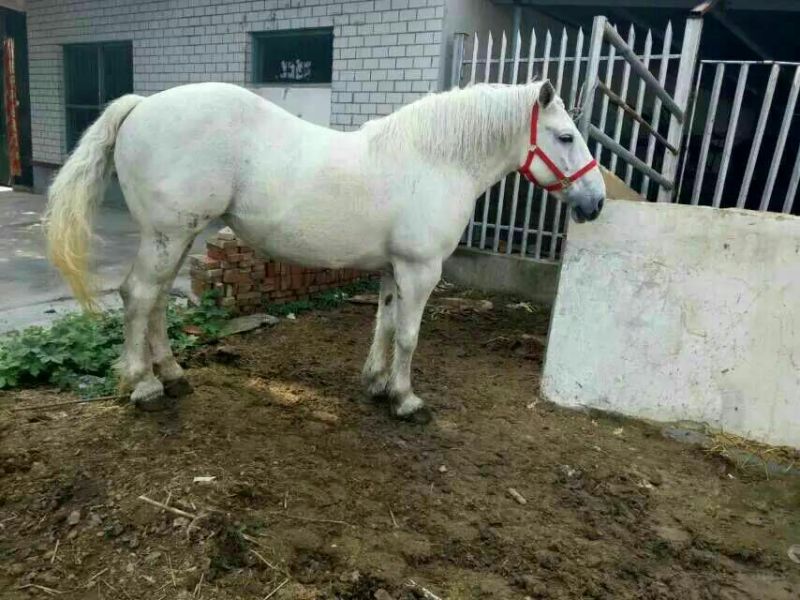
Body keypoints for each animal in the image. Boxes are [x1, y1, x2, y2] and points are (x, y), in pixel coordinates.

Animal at [44, 79, 605, 422]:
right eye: (565, 136)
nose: (596, 202)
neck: (434, 160)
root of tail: (142, 104)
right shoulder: (420, 270)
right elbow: (409, 336)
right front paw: (406, 400)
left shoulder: (393, 269)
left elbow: (384, 325)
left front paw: (376, 384)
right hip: (167, 236)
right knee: (139, 296)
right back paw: (144, 386)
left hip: (177, 238)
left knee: (156, 301)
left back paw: (174, 375)